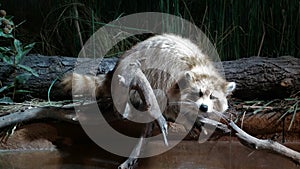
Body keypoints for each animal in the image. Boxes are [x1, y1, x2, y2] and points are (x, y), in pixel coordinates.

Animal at [62, 34, 236, 123]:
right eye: (198, 93)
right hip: (134, 73)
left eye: (213, 97)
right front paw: (178, 113)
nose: (203, 108)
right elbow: (169, 98)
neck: (198, 67)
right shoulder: (171, 77)